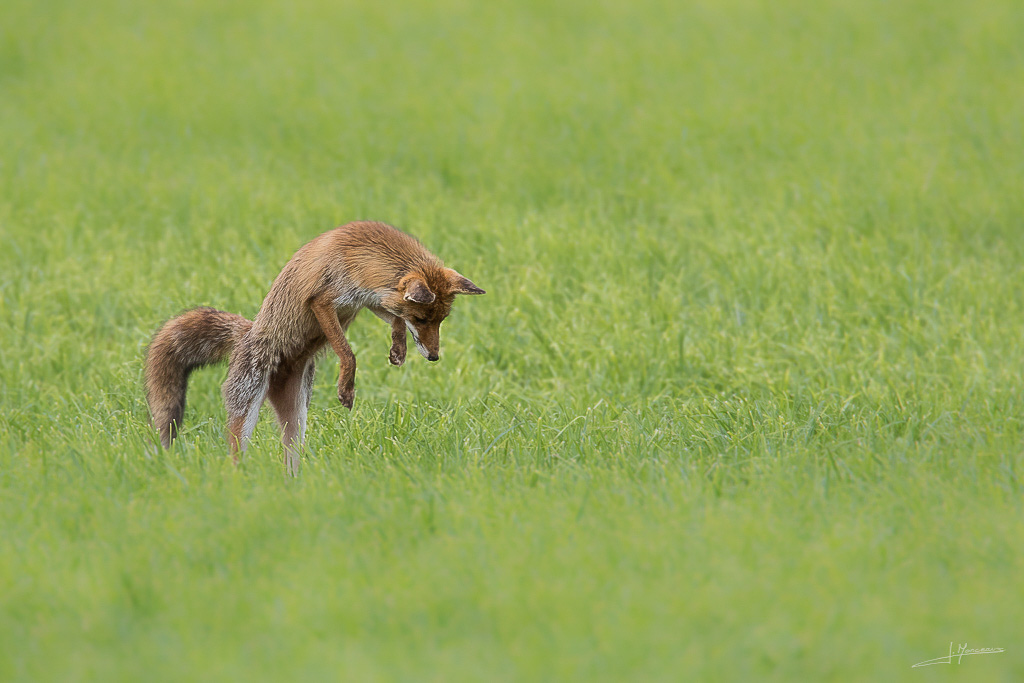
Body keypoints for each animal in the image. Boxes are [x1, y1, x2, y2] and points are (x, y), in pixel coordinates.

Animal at [141, 222, 487, 473]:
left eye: (441, 320)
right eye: (422, 318)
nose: (434, 356)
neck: (361, 254)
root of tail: (248, 333)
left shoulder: (370, 299)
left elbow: (393, 320)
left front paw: (398, 349)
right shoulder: (324, 301)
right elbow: (347, 352)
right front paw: (347, 387)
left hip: (297, 416)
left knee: (290, 456)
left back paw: (293, 488)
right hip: (247, 405)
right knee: (236, 452)